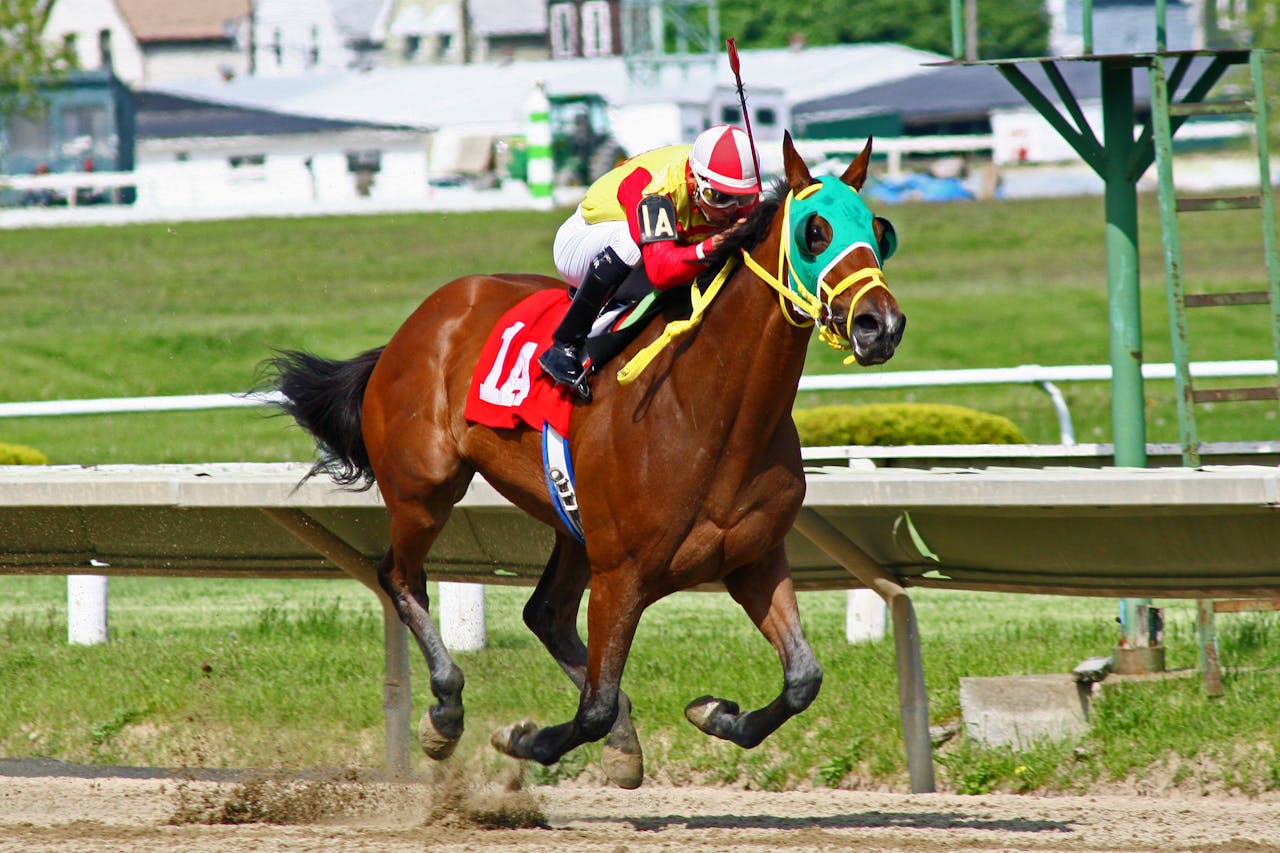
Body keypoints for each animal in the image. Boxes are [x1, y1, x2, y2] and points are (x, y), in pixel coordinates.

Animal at [267, 131, 904, 789]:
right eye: (814, 232)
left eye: (880, 231)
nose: (879, 324)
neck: (710, 411)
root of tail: (417, 323)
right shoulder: (622, 573)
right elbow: (593, 705)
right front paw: (524, 740)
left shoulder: (754, 558)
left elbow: (803, 679)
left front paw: (714, 713)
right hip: (424, 489)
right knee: (399, 576)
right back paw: (445, 710)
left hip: (571, 522)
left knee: (544, 613)